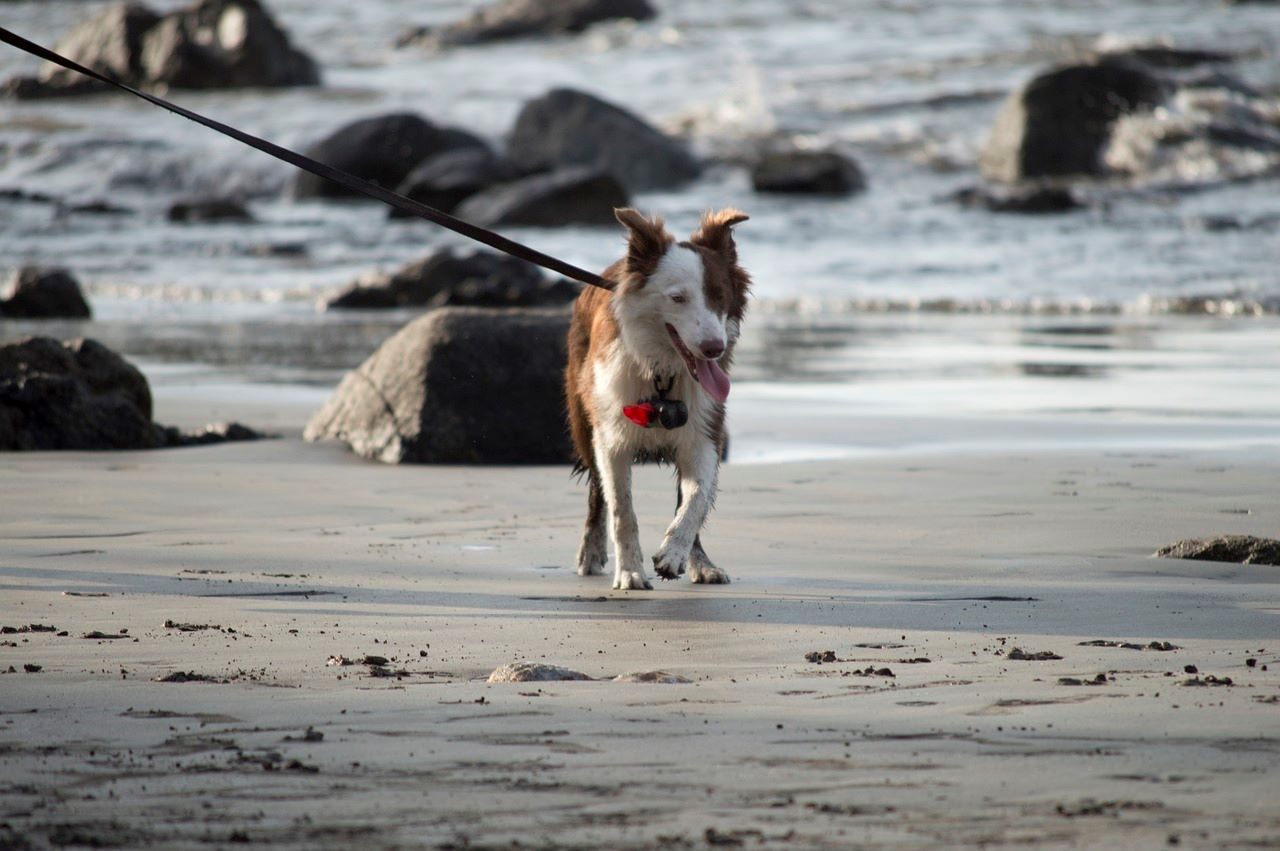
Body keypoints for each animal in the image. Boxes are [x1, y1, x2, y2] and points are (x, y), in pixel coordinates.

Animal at [563, 207, 747, 591]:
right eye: (677, 298)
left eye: (719, 296)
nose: (714, 348)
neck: (664, 372)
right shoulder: (611, 439)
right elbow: (621, 509)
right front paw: (630, 572)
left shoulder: (704, 433)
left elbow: (694, 500)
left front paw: (675, 554)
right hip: (582, 418)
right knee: (596, 492)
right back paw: (590, 552)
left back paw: (699, 563)